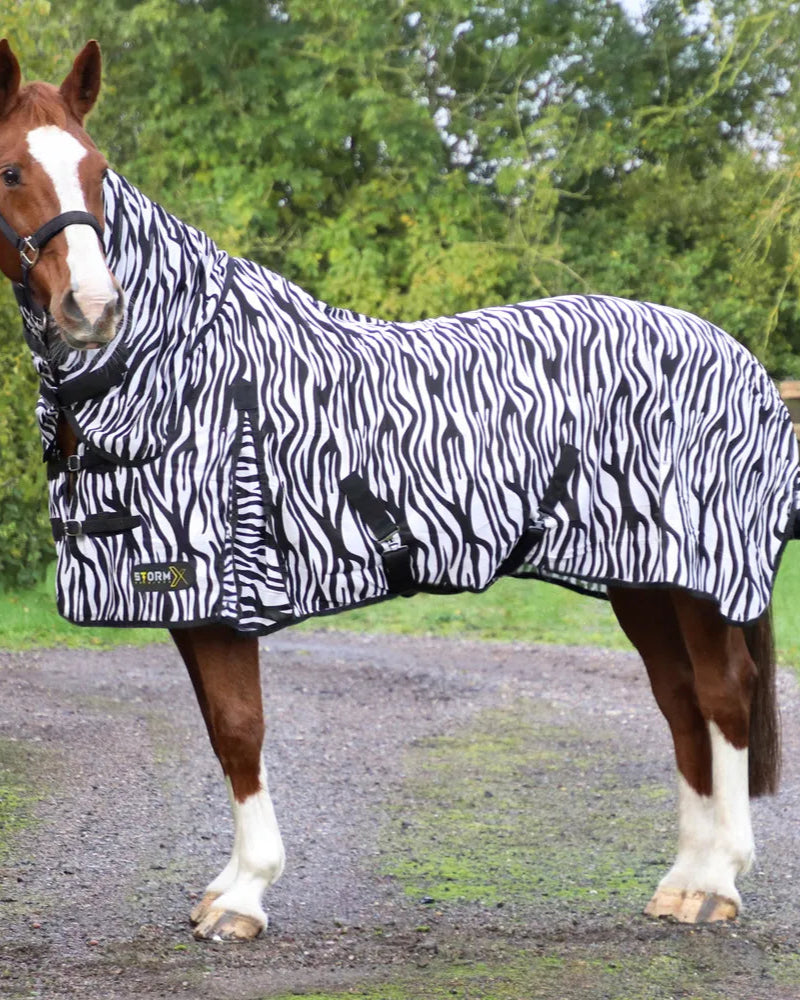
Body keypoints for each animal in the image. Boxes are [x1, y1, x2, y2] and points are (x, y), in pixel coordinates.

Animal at [0, 40, 797, 942]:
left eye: (98, 170)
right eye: (11, 171)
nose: (92, 308)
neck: (181, 359)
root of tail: (744, 363)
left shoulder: (225, 591)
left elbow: (241, 729)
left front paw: (245, 896)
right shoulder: (188, 602)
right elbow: (219, 734)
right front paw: (226, 887)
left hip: (701, 580)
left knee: (724, 696)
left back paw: (720, 880)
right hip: (644, 580)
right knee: (681, 701)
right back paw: (682, 882)